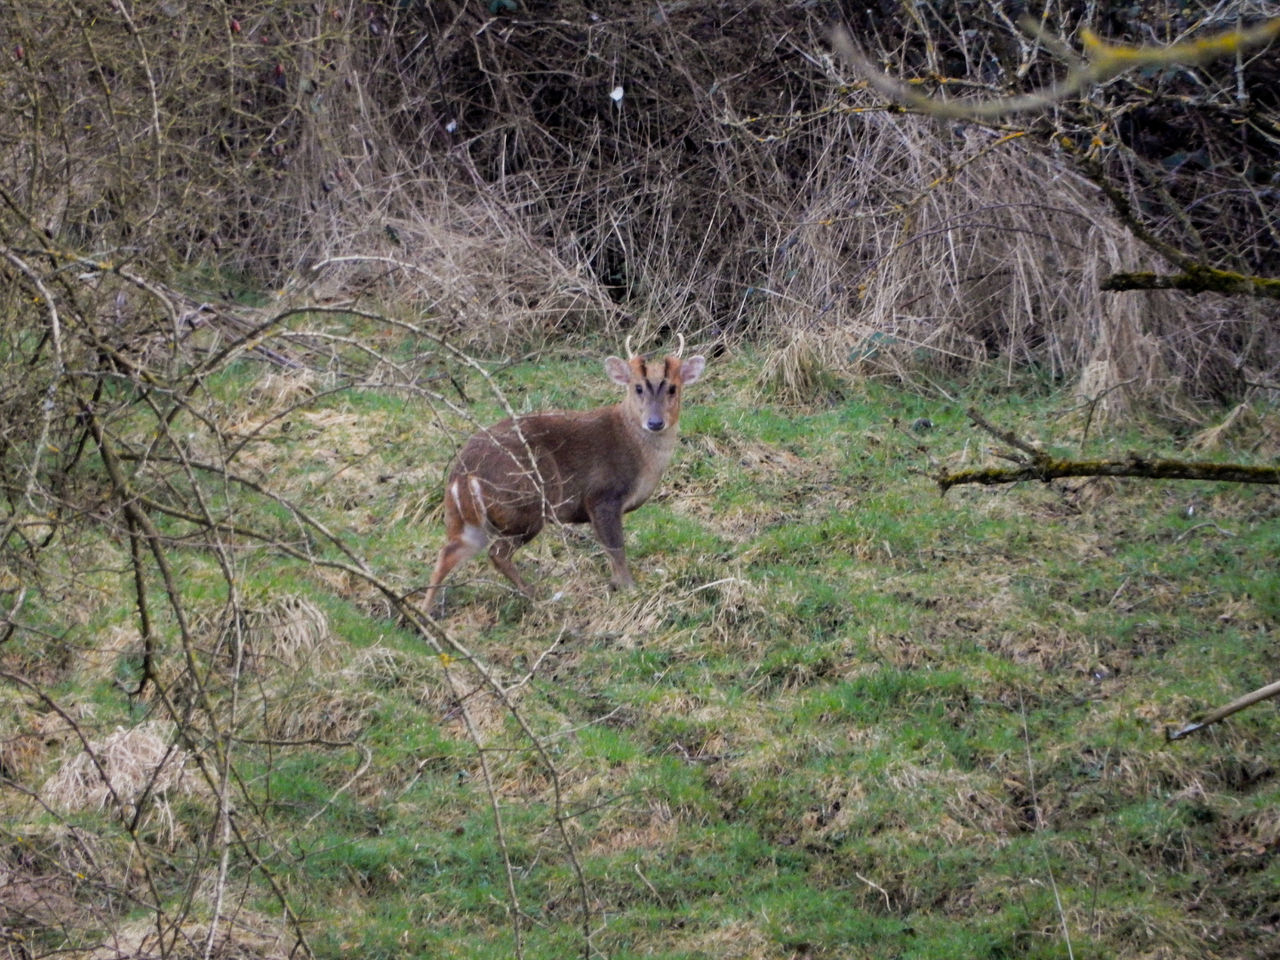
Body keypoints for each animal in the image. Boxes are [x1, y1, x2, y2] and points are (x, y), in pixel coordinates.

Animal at [419, 335, 706, 616]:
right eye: (637, 387)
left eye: (673, 388)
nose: (655, 422)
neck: (637, 451)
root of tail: (462, 474)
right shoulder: (602, 496)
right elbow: (616, 548)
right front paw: (629, 589)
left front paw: (616, 586)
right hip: (525, 505)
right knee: (497, 553)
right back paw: (537, 596)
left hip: (467, 520)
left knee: (448, 552)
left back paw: (425, 612)